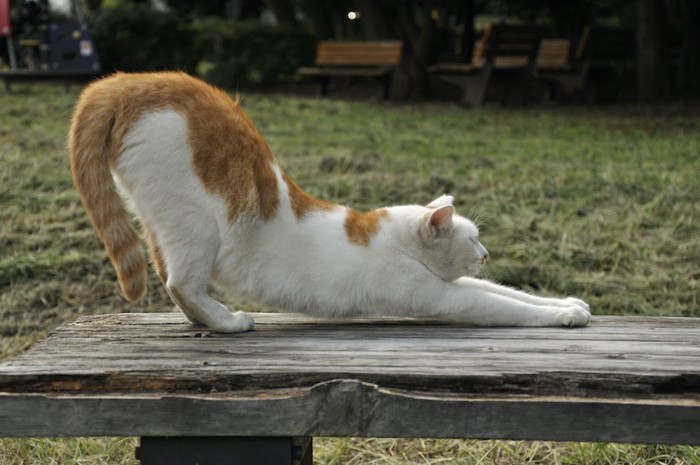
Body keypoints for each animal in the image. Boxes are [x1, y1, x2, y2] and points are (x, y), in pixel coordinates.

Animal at [67, 70, 592, 332]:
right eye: (473, 239)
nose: (486, 253)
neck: (393, 240)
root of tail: (128, 80)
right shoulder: (442, 296)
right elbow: (504, 305)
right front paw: (561, 315)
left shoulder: (456, 283)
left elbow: (511, 292)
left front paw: (569, 302)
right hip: (193, 225)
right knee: (180, 282)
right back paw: (228, 323)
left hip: (160, 221)